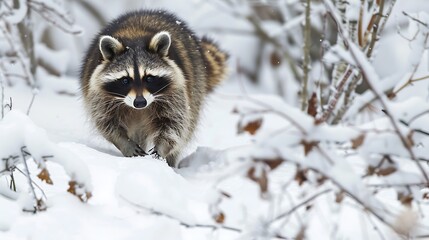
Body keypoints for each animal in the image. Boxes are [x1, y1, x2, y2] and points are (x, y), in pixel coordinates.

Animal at [80, 9, 227, 167]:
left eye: (149, 78)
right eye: (125, 80)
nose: (140, 102)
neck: (134, 36)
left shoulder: (176, 90)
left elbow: (174, 123)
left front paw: (161, 149)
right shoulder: (99, 93)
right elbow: (105, 121)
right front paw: (124, 142)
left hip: (196, 83)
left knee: (186, 127)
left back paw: (171, 162)